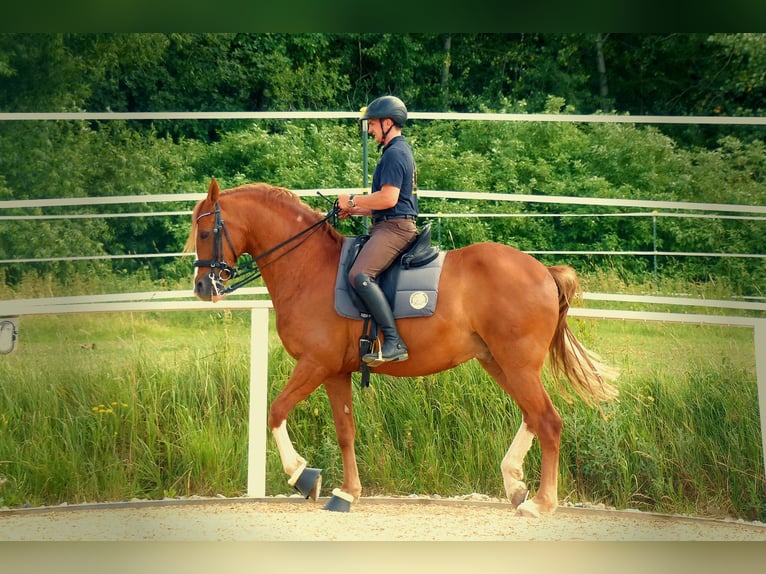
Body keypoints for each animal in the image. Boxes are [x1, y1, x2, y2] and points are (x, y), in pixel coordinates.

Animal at [186, 178, 618, 517]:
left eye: (205, 233)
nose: (203, 287)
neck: (308, 268)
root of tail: (543, 271)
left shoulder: (315, 364)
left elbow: (275, 411)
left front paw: (303, 475)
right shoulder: (336, 372)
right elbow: (345, 431)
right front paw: (347, 493)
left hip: (517, 364)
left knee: (548, 421)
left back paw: (541, 502)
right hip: (499, 362)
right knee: (532, 416)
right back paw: (515, 484)